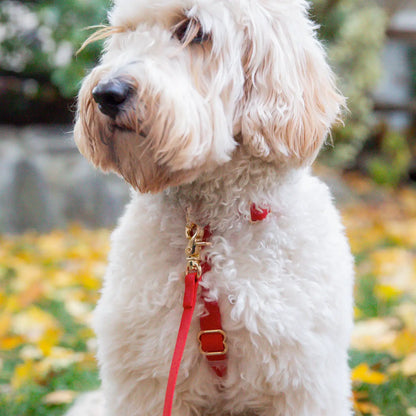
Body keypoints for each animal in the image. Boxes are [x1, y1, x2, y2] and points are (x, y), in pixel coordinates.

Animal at [71, 0, 354, 416]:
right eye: (124, 33)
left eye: (193, 31)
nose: (107, 93)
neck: (207, 228)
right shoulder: (150, 377)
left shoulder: (301, 379)